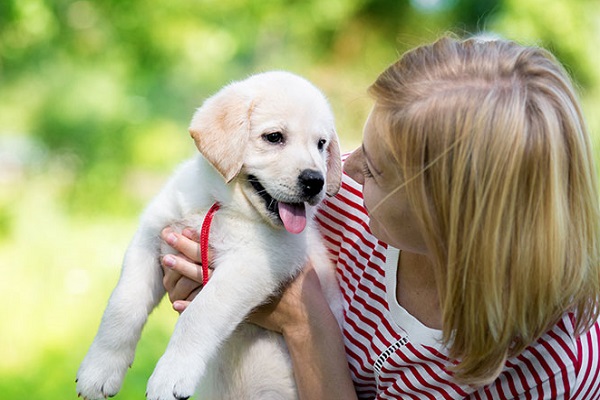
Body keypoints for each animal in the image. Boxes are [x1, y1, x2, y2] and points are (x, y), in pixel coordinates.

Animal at [76, 72, 342, 400]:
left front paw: (171, 375)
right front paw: (99, 370)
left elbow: (200, 314)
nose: (315, 181)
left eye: (321, 144)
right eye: (274, 137)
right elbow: (122, 305)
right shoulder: (149, 238)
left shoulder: (253, 264)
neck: (220, 203)